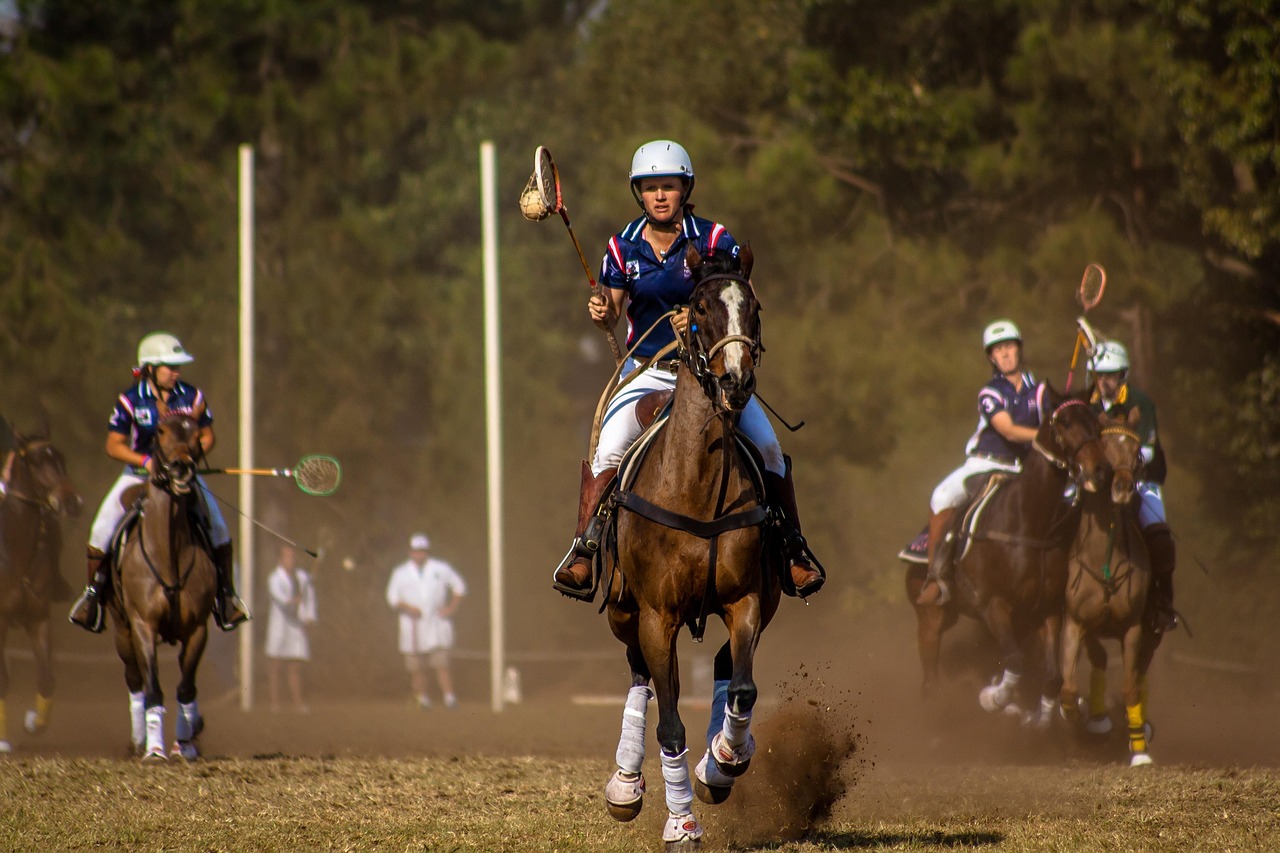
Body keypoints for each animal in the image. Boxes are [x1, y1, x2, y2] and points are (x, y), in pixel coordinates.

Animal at [0, 427, 81, 747]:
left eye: (61, 458)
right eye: (35, 462)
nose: (72, 502)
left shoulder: (38, 617)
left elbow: (47, 679)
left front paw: (35, 721)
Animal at [108, 409, 216, 758]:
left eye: (196, 434)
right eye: (161, 431)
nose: (182, 467)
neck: (168, 553)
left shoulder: (197, 629)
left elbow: (186, 687)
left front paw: (186, 744)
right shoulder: (143, 624)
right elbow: (153, 687)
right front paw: (155, 750)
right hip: (122, 627)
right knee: (134, 679)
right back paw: (138, 741)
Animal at [906, 389, 1105, 722]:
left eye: (1096, 422)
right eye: (1064, 422)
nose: (1098, 470)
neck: (1031, 524)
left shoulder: (1045, 610)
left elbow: (1051, 676)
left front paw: (1038, 715)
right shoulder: (992, 604)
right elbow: (1014, 659)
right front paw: (995, 699)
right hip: (930, 615)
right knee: (930, 679)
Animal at [1059, 407, 1162, 763]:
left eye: (1137, 453)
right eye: (1104, 448)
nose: (1123, 487)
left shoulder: (1132, 626)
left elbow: (1130, 687)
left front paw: (1139, 750)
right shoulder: (1076, 622)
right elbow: (1069, 688)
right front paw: (1080, 727)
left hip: (1151, 630)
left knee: (1140, 673)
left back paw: (1141, 728)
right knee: (1101, 661)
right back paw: (1098, 721)